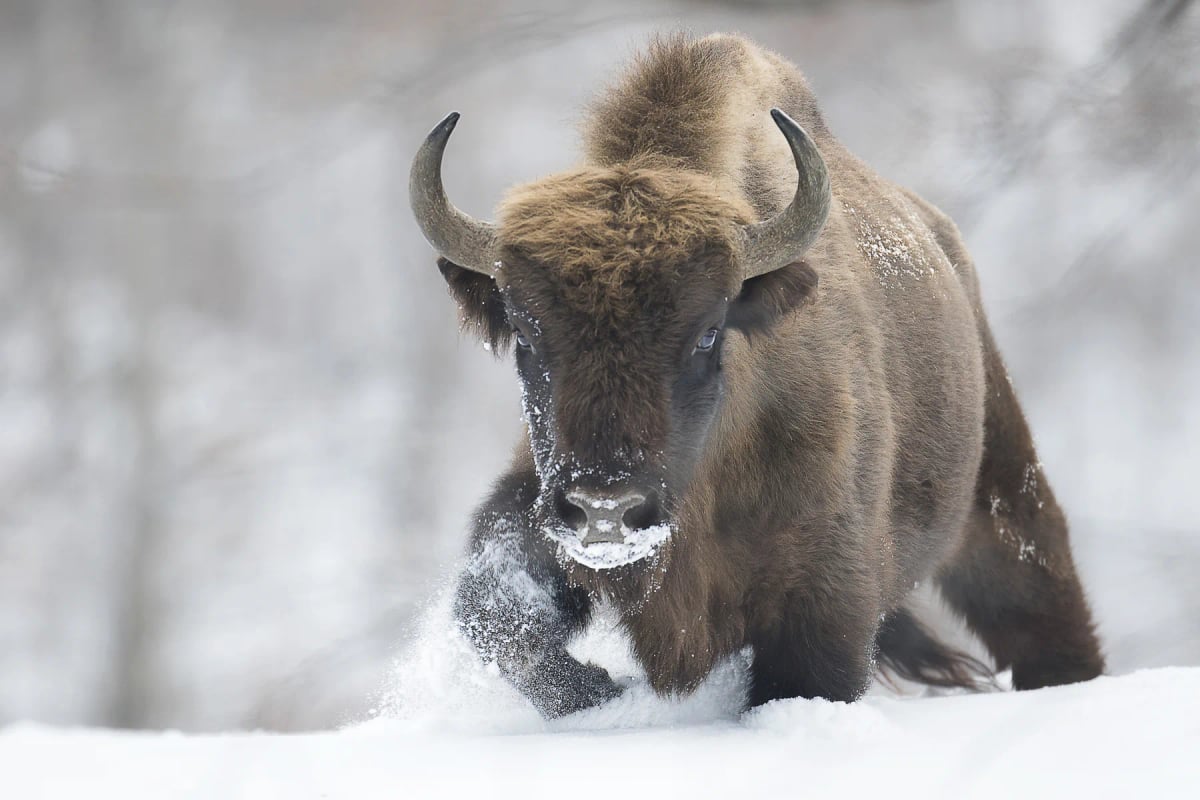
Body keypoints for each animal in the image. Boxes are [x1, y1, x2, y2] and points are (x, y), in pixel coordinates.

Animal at [408, 33, 1104, 717]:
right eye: (526, 335)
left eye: (707, 332)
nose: (605, 510)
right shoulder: (532, 509)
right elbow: (500, 619)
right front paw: (607, 692)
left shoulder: (823, 604)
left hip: (1002, 497)